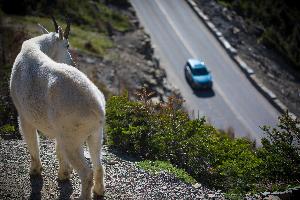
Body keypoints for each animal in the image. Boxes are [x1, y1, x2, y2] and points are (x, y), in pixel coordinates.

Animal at [9, 18, 106, 199]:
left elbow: (32, 141)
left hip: (73, 138)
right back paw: (99, 191)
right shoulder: (59, 130)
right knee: (98, 164)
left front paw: (35, 171)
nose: (73, 63)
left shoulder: (24, 116)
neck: (39, 46)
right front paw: (63, 175)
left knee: (86, 173)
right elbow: (58, 150)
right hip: (95, 134)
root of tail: (98, 108)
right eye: (67, 45)